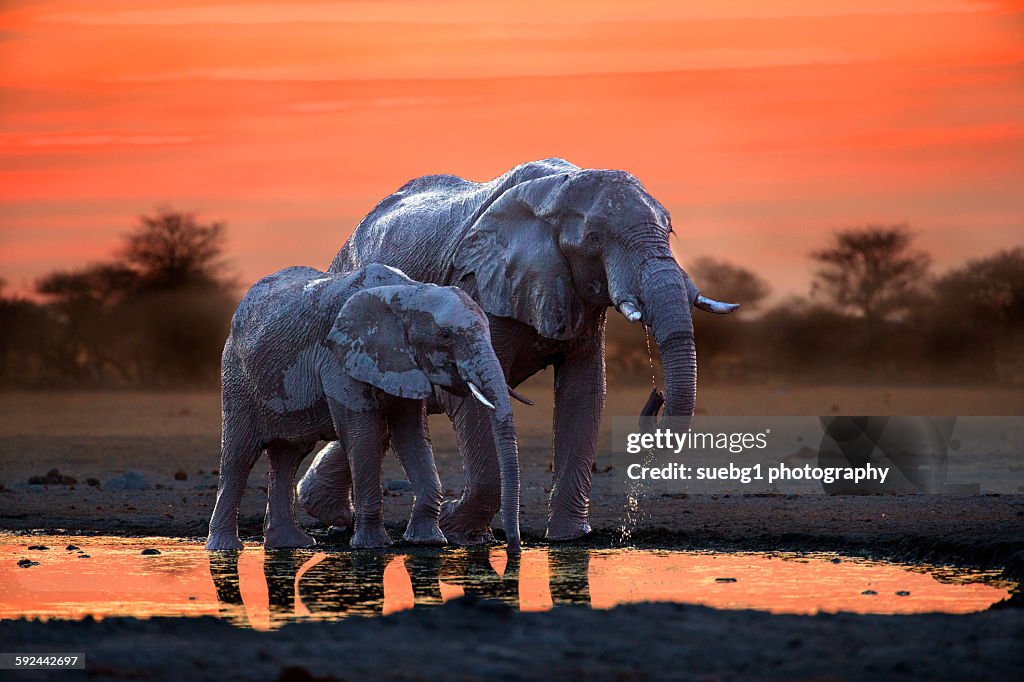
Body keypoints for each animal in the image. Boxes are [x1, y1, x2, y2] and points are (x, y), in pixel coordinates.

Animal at [204, 262, 524, 548]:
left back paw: (290, 545)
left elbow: (412, 436)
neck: (409, 292)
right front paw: (373, 546)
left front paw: (430, 541)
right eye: (445, 336)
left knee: (288, 455)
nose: (512, 548)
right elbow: (364, 436)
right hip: (236, 378)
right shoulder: (340, 356)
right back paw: (224, 549)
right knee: (239, 456)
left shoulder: (403, 362)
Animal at [296, 157, 737, 540]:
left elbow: (584, 392)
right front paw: (460, 530)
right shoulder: (479, 284)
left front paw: (569, 539)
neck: (557, 192)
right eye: (594, 239)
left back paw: (330, 513)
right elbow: (475, 399)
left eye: (669, 232)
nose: (655, 397)